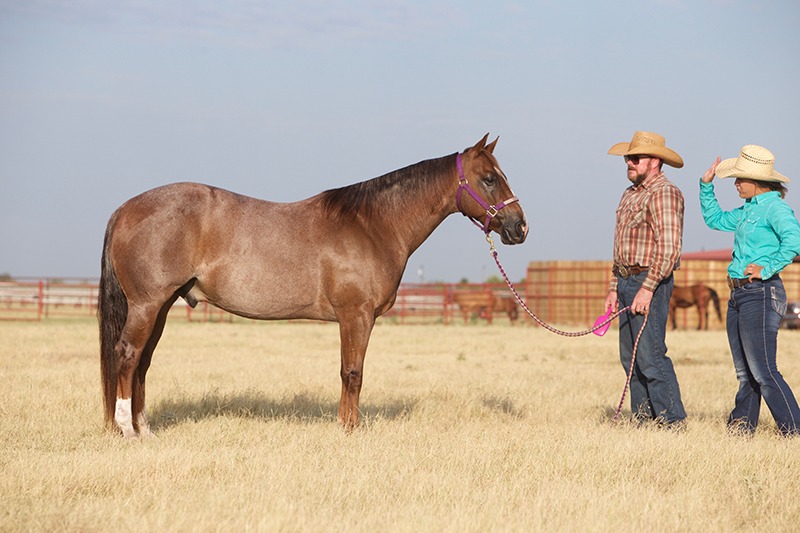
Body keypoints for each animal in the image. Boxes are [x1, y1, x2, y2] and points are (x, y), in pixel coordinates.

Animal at [99, 134, 528, 437]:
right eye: (489, 179)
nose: (520, 227)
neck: (373, 226)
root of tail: (125, 209)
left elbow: (349, 371)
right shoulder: (356, 316)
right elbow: (353, 372)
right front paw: (350, 430)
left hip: (162, 306)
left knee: (142, 362)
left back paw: (144, 429)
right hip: (147, 305)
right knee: (127, 355)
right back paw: (126, 430)